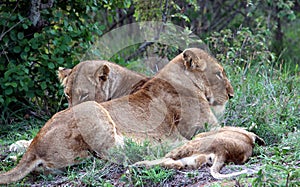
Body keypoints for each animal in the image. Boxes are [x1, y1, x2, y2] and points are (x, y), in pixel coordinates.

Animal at [0, 47, 234, 183]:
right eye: (219, 73)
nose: (231, 94)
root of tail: (36, 147)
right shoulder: (204, 127)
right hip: (95, 111)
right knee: (124, 155)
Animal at [134, 126, 264, 179]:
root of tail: (224, 152)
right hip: (195, 158)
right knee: (176, 164)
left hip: (191, 146)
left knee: (168, 157)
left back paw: (137, 164)